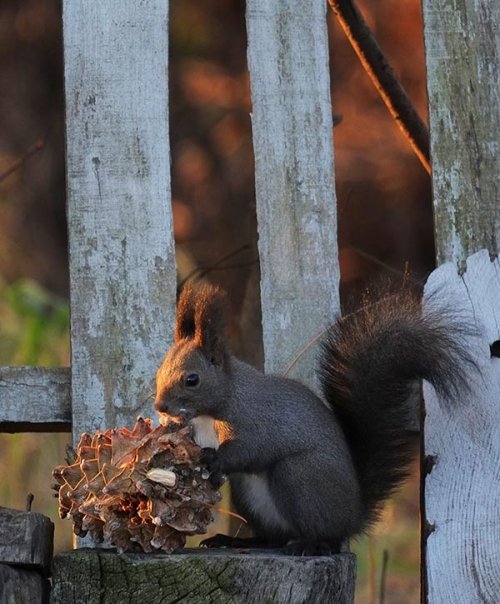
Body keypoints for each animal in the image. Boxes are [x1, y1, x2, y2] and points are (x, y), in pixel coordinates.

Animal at [154, 280, 474, 556]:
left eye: (192, 380)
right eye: (159, 372)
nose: (160, 406)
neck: (216, 407)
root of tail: (352, 515)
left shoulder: (255, 420)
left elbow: (248, 450)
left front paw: (214, 459)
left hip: (301, 476)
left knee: (324, 534)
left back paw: (312, 544)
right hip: (249, 495)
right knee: (273, 538)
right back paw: (238, 541)